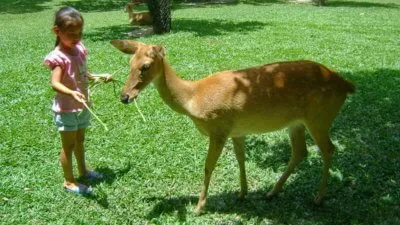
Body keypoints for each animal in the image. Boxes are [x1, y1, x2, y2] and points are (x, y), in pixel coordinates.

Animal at [111, 40, 354, 214]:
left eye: (145, 66)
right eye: (129, 65)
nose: (124, 97)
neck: (193, 98)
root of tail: (346, 85)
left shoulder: (218, 128)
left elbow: (208, 166)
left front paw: (199, 207)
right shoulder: (238, 131)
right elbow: (240, 158)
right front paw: (242, 193)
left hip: (319, 118)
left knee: (328, 149)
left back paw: (318, 198)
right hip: (296, 123)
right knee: (300, 152)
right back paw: (272, 192)